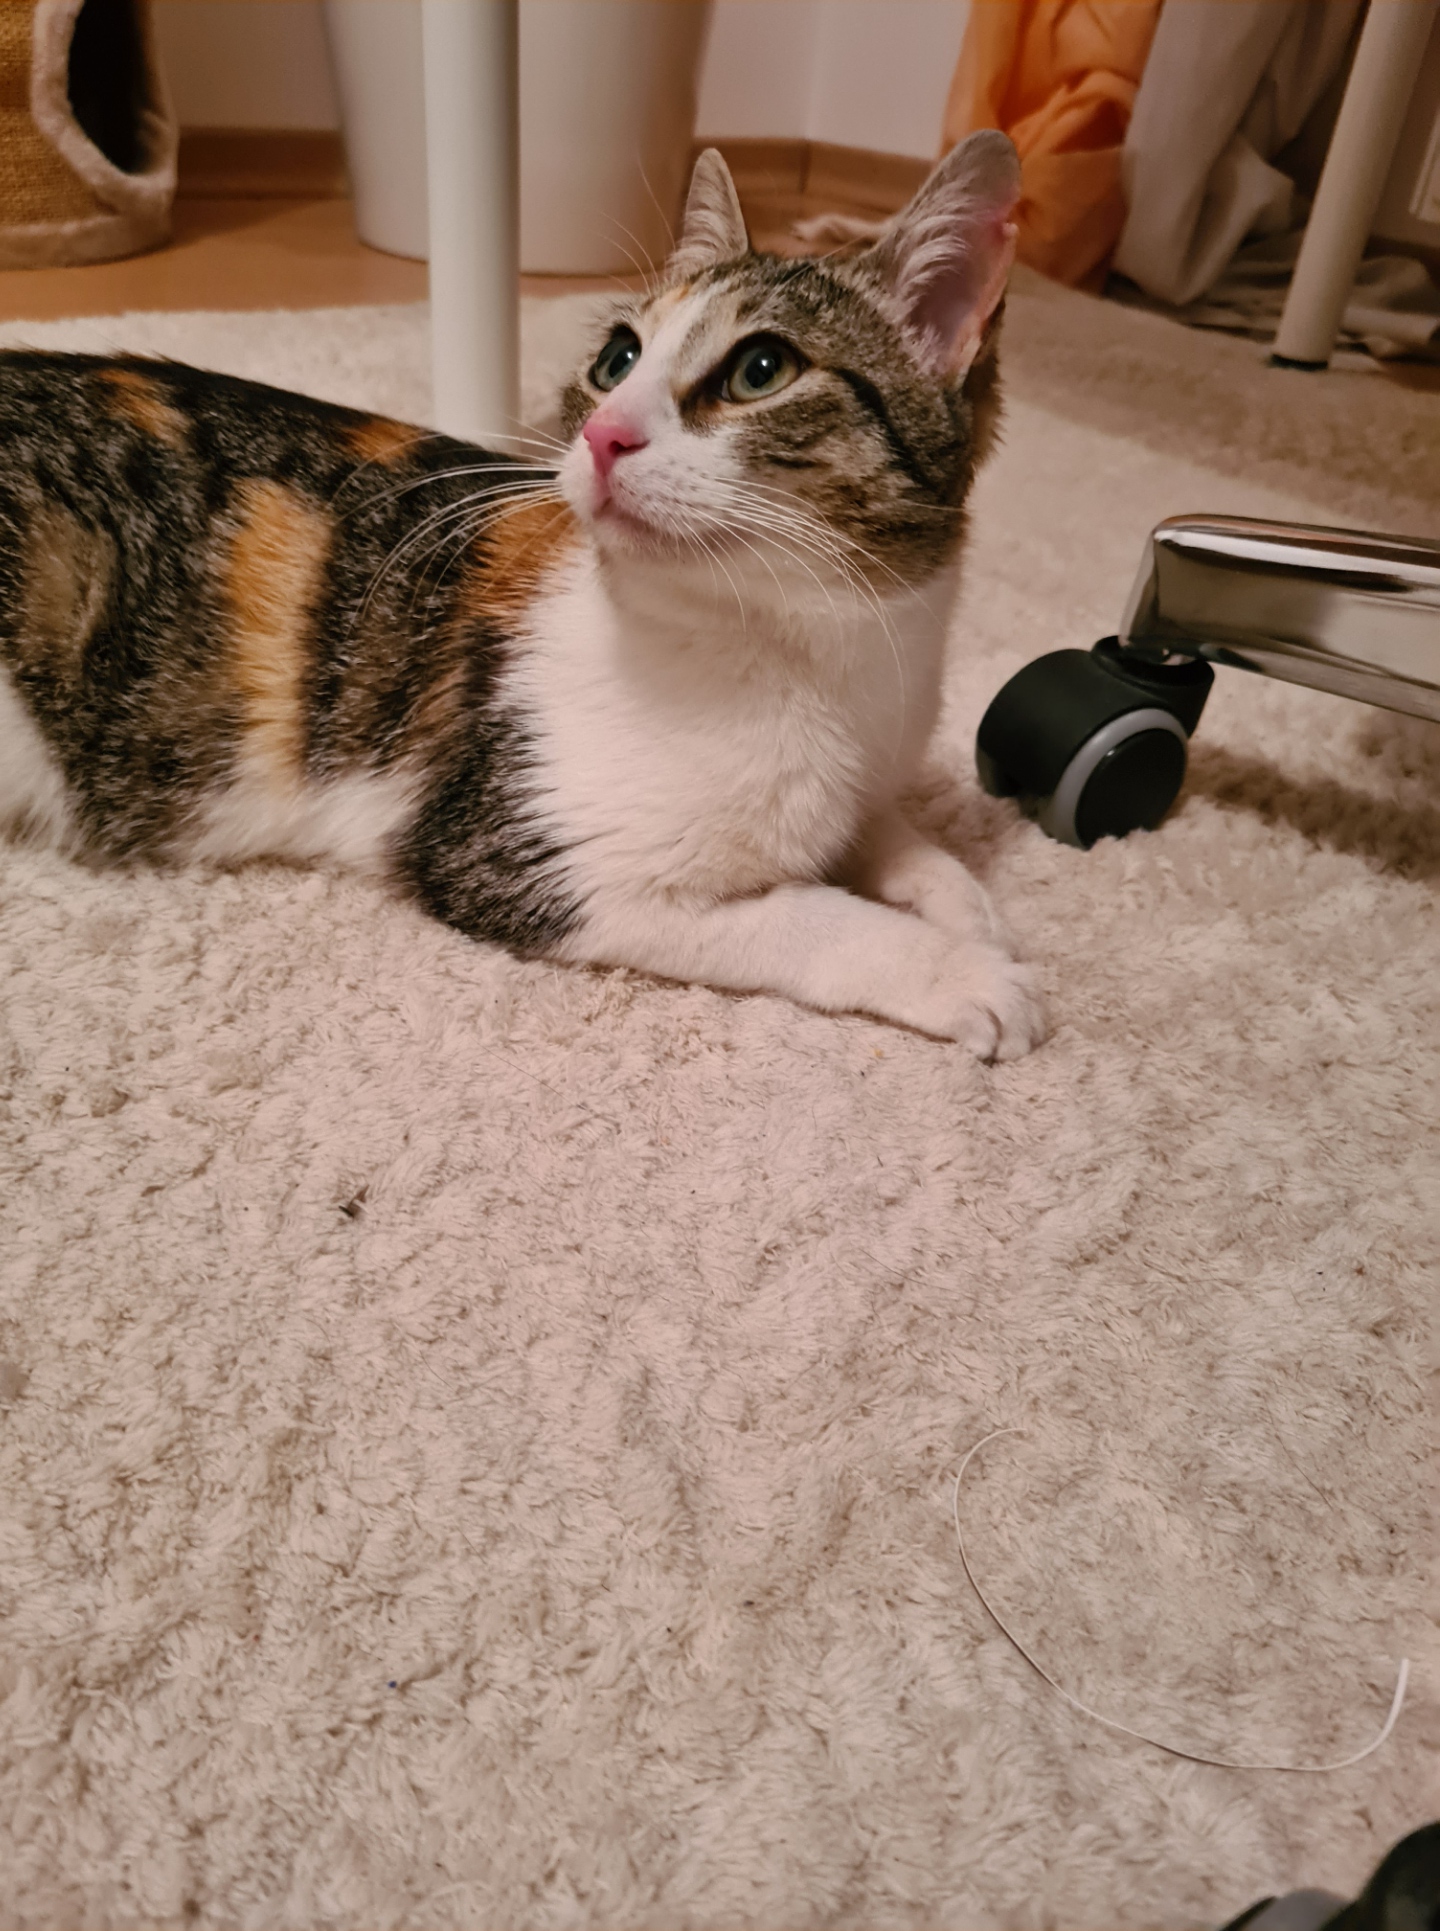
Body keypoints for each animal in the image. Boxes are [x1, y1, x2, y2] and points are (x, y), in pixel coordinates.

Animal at [0, 132, 1043, 1059]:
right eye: (617, 358)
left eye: (761, 370)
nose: (603, 434)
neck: (819, 652)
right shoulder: (523, 856)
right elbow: (808, 916)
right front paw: (964, 971)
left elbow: (892, 835)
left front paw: (967, 905)